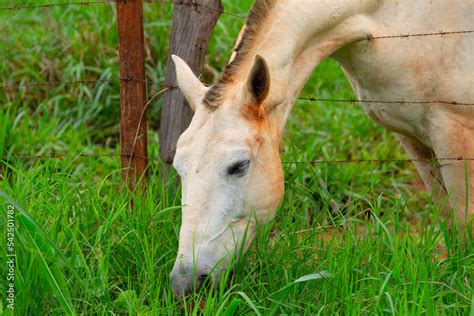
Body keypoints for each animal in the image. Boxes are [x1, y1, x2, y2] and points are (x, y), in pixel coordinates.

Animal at [168, 0, 472, 296]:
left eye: (239, 166)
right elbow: (449, 221)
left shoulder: (454, 132)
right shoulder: (412, 136)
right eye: (178, 167)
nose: (185, 283)